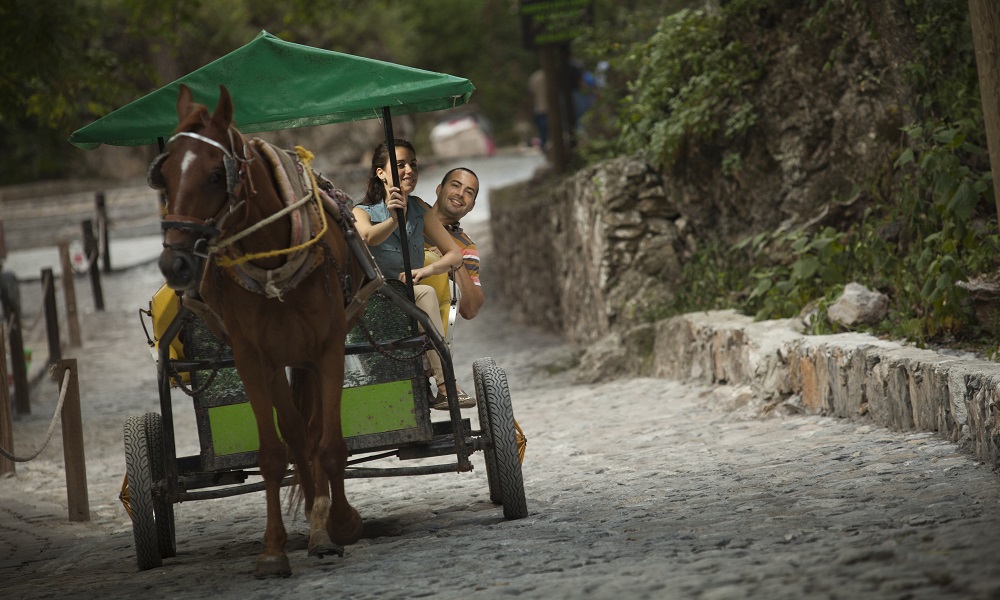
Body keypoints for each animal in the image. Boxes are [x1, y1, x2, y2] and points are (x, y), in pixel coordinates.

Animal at [152, 83, 376, 576]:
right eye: (165, 178)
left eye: (216, 175)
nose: (174, 263)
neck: (273, 258)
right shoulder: (253, 359)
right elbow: (274, 454)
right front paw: (274, 548)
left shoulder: (328, 348)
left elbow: (331, 445)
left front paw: (343, 523)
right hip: (279, 363)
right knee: (296, 438)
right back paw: (314, 518)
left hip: (306, 355)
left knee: (312, 436)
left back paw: (325, 521)